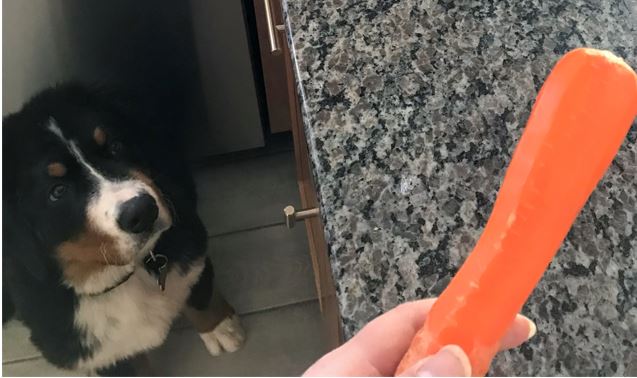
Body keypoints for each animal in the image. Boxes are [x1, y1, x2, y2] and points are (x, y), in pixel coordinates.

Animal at [3, 84, 246, 376]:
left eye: (115, 147)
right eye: (57, 191)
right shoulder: (100, 353)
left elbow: (199, 288)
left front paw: (221, 328)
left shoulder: (189, 240)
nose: (141, 212)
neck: (119, 276)